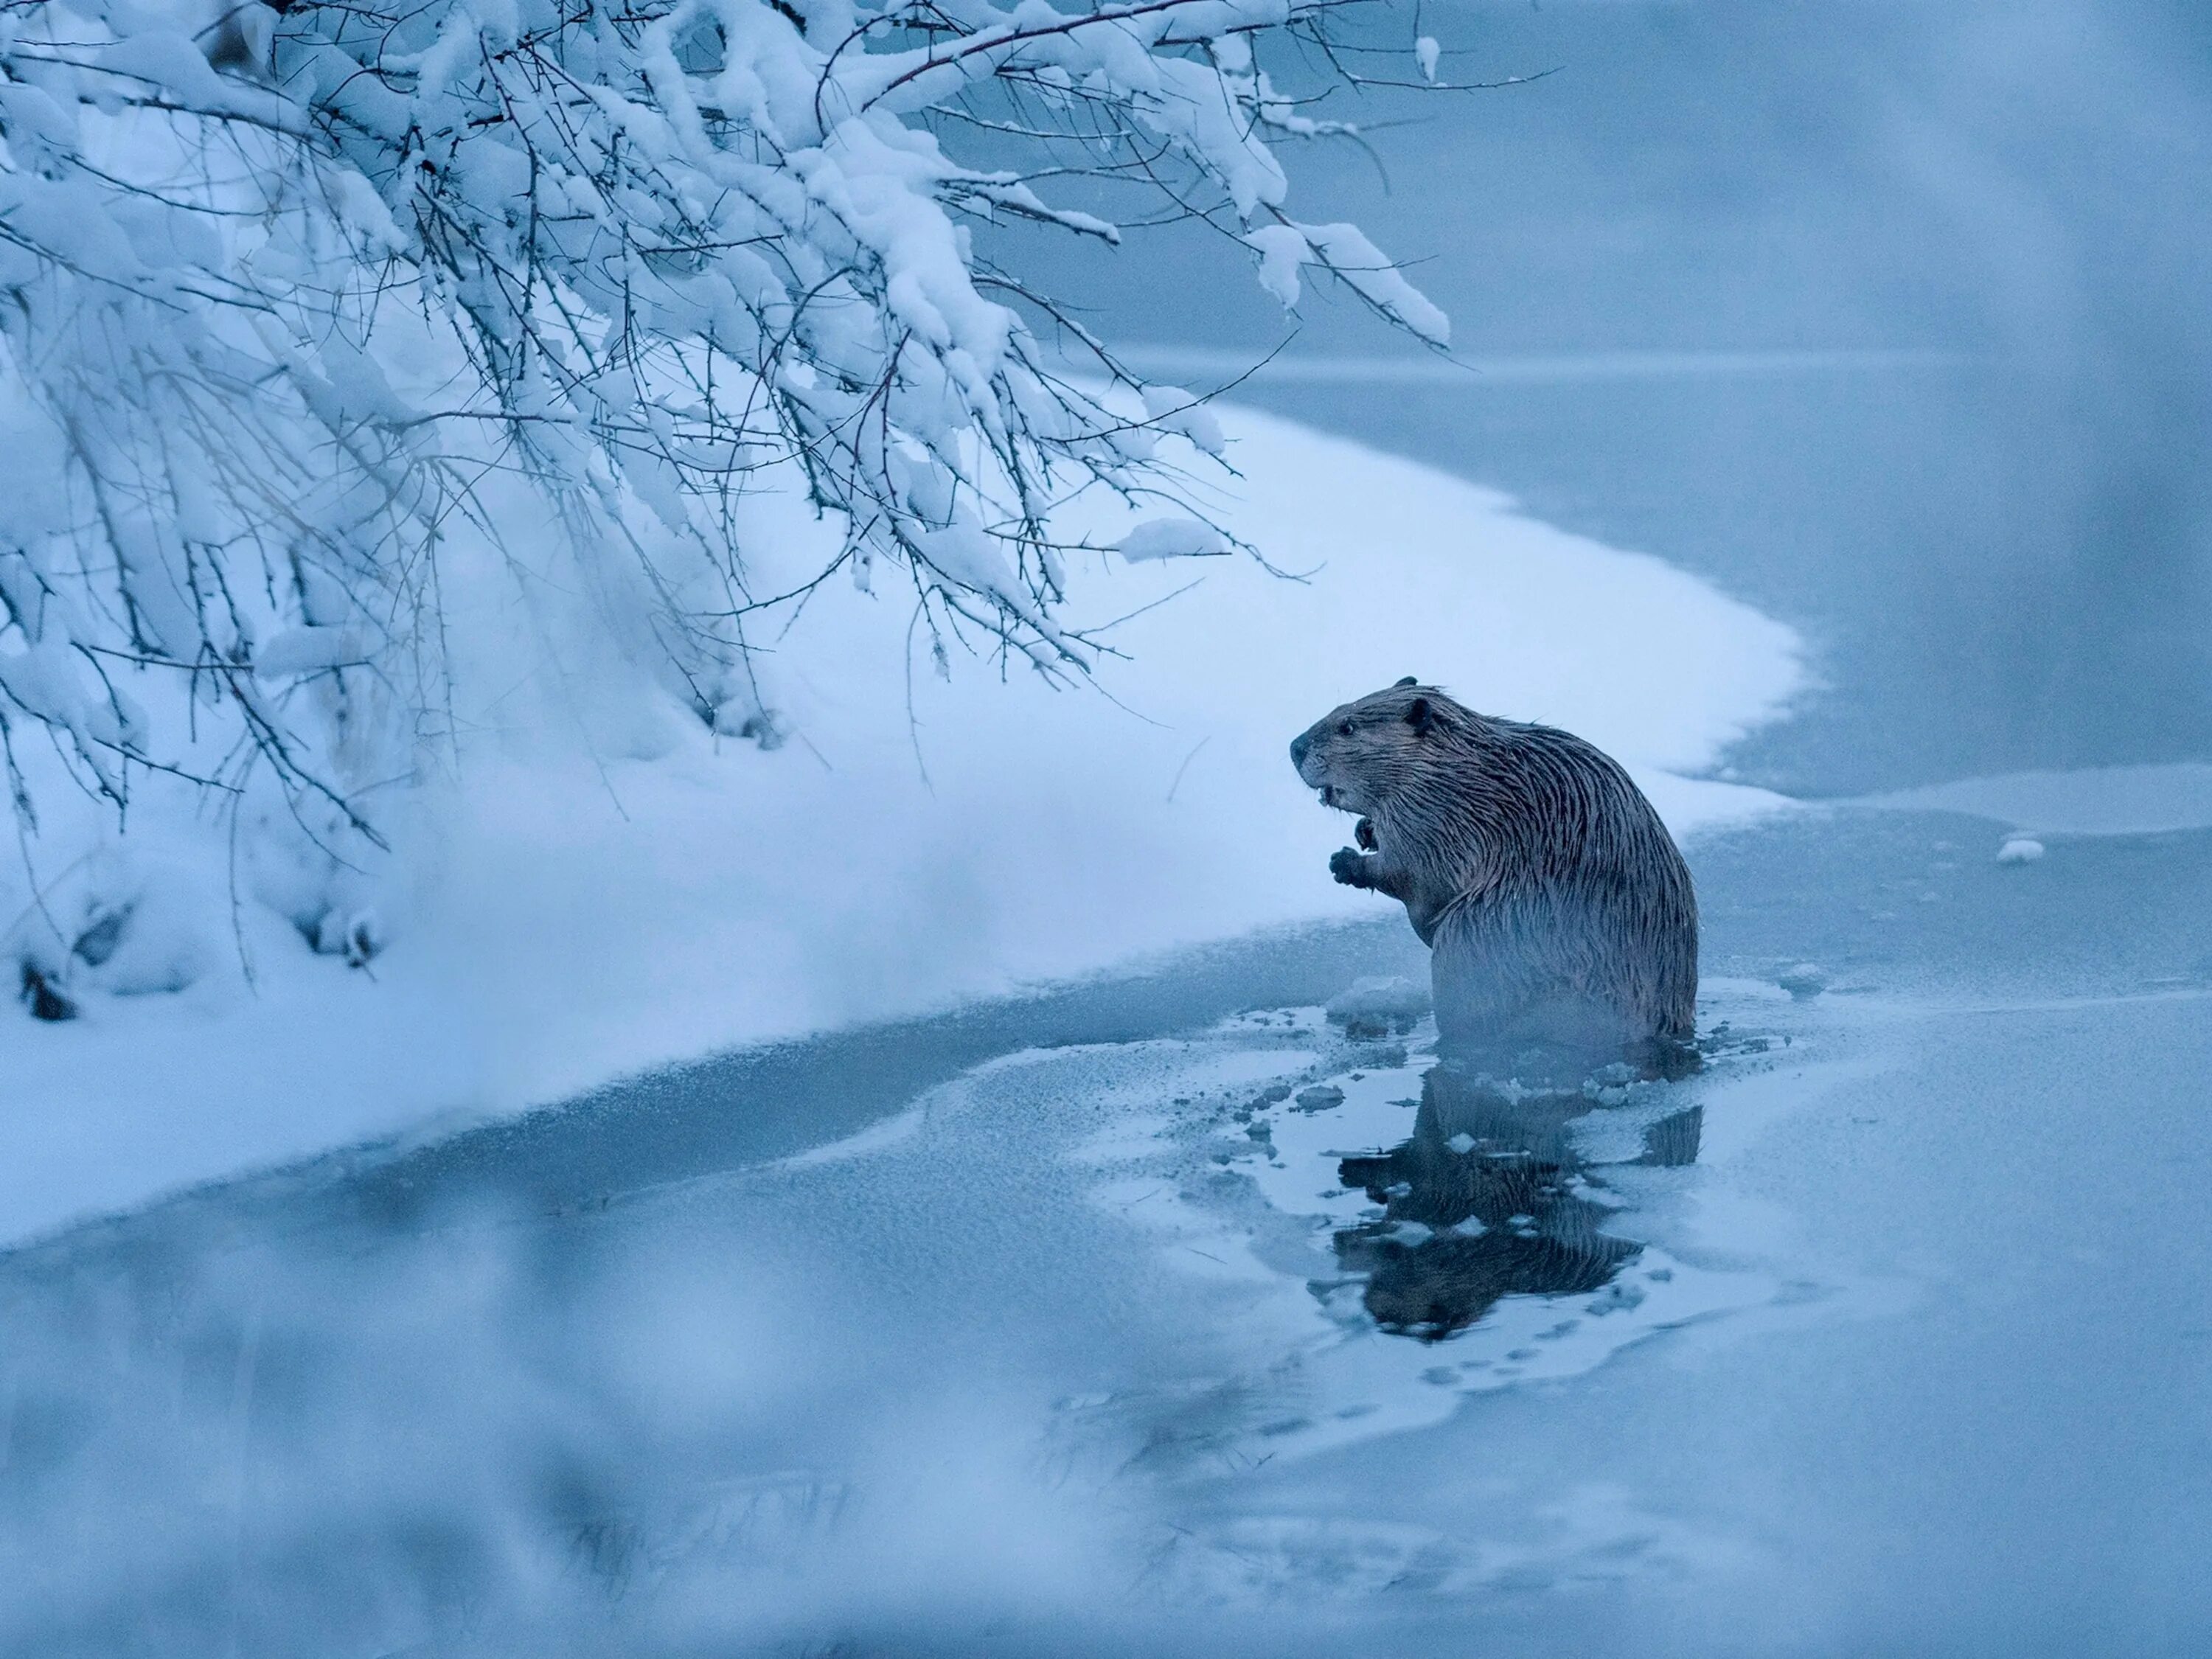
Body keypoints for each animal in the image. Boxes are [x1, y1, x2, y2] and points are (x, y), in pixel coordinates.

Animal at [1292, 677, 1699, 1079]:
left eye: (1348, 727)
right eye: (1338, 711)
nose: (1295, 747)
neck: (1451, 765)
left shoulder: (1434, 813)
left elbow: (1411, 873)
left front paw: (1344, 862)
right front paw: (1365, 830)